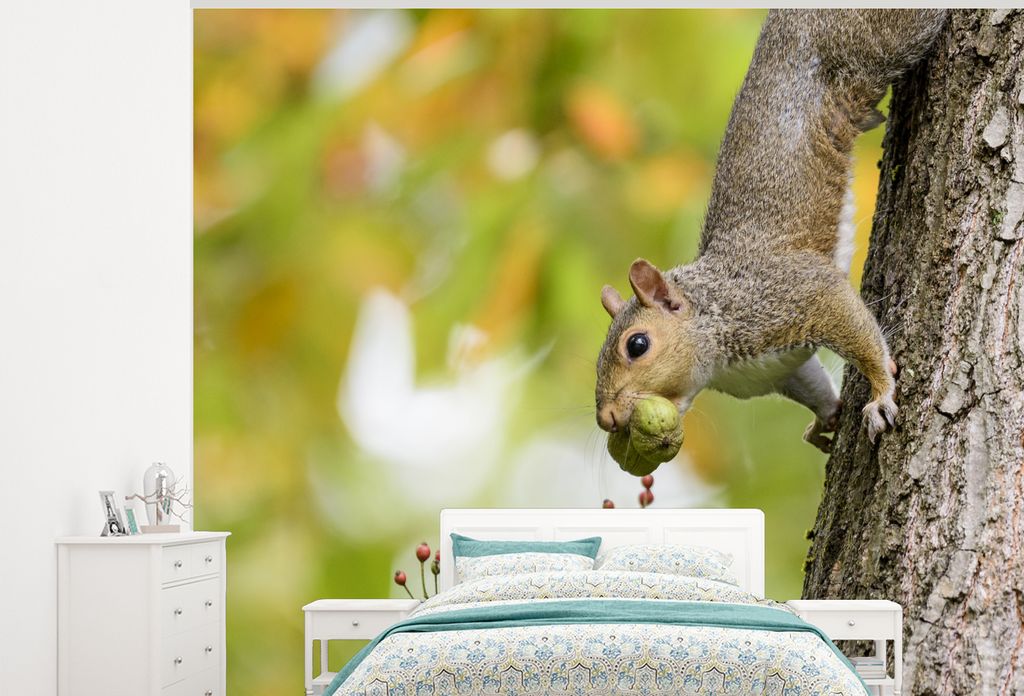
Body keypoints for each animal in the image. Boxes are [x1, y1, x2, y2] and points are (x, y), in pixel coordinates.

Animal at [595, 10, 947, 453]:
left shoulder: (795, 293)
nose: (606, 418)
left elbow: (859, 336)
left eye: (637, 345)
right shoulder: (776, 369)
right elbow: (810, 385)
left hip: (881, 38)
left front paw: (881, 393)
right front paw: (826, 420)